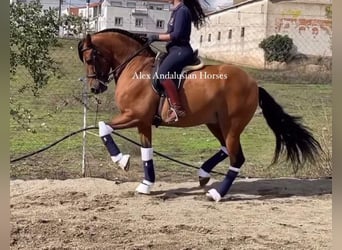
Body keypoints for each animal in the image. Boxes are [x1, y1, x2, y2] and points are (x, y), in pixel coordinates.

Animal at [79, 28, 322, 201]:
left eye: (90, 59)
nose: (95, 88)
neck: (135, 67)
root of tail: (253, 84)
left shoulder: (135, 116)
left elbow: (103, 127)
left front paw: (122, 161)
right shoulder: (143, 122)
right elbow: (147, 152)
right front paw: (146, 185)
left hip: (232, 125)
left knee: (237, 158)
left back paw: (217, 194)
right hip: (215, 123)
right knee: (226, 149)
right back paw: (204, 174)